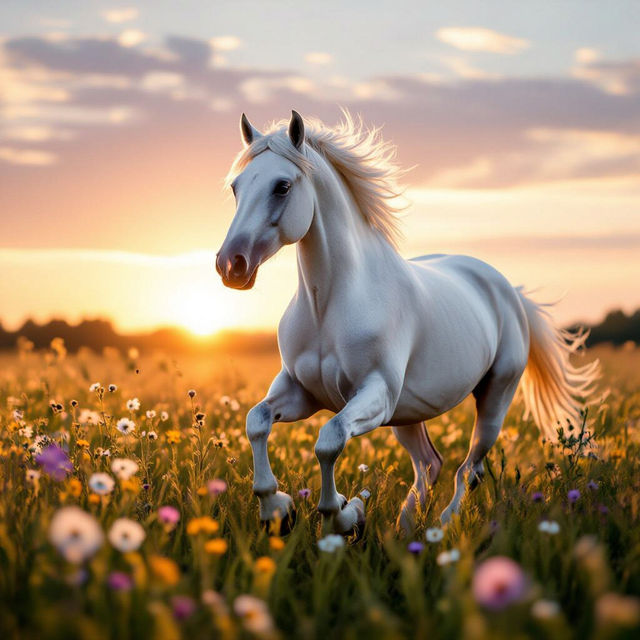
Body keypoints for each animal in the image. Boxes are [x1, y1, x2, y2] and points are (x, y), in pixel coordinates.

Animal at [215, 110, 599, 535]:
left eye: (282, 186)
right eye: (235, 187)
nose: (231, 265)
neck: (327, 307)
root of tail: (510, 292)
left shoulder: (374, 394)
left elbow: (329, 440)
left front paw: (346, 513)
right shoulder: (302, 392)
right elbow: (257, 421)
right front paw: (278, 510)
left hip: (494, 398)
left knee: (469, 469)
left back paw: (440, 527)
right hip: (408, 413)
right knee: (429, 464)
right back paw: (405, 526)